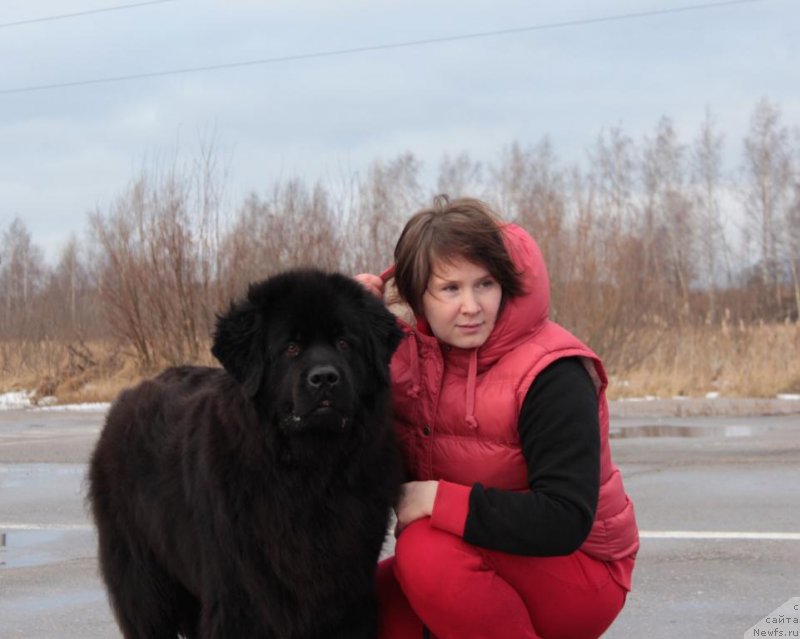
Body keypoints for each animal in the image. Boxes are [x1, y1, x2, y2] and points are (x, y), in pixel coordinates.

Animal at [88, 272, 404, 639]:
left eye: (344, 343)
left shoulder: (348, 594)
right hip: (143, 583)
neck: (310, 473)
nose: (325, 377)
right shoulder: (242, 596)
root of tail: (126, 398)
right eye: (291, 348)